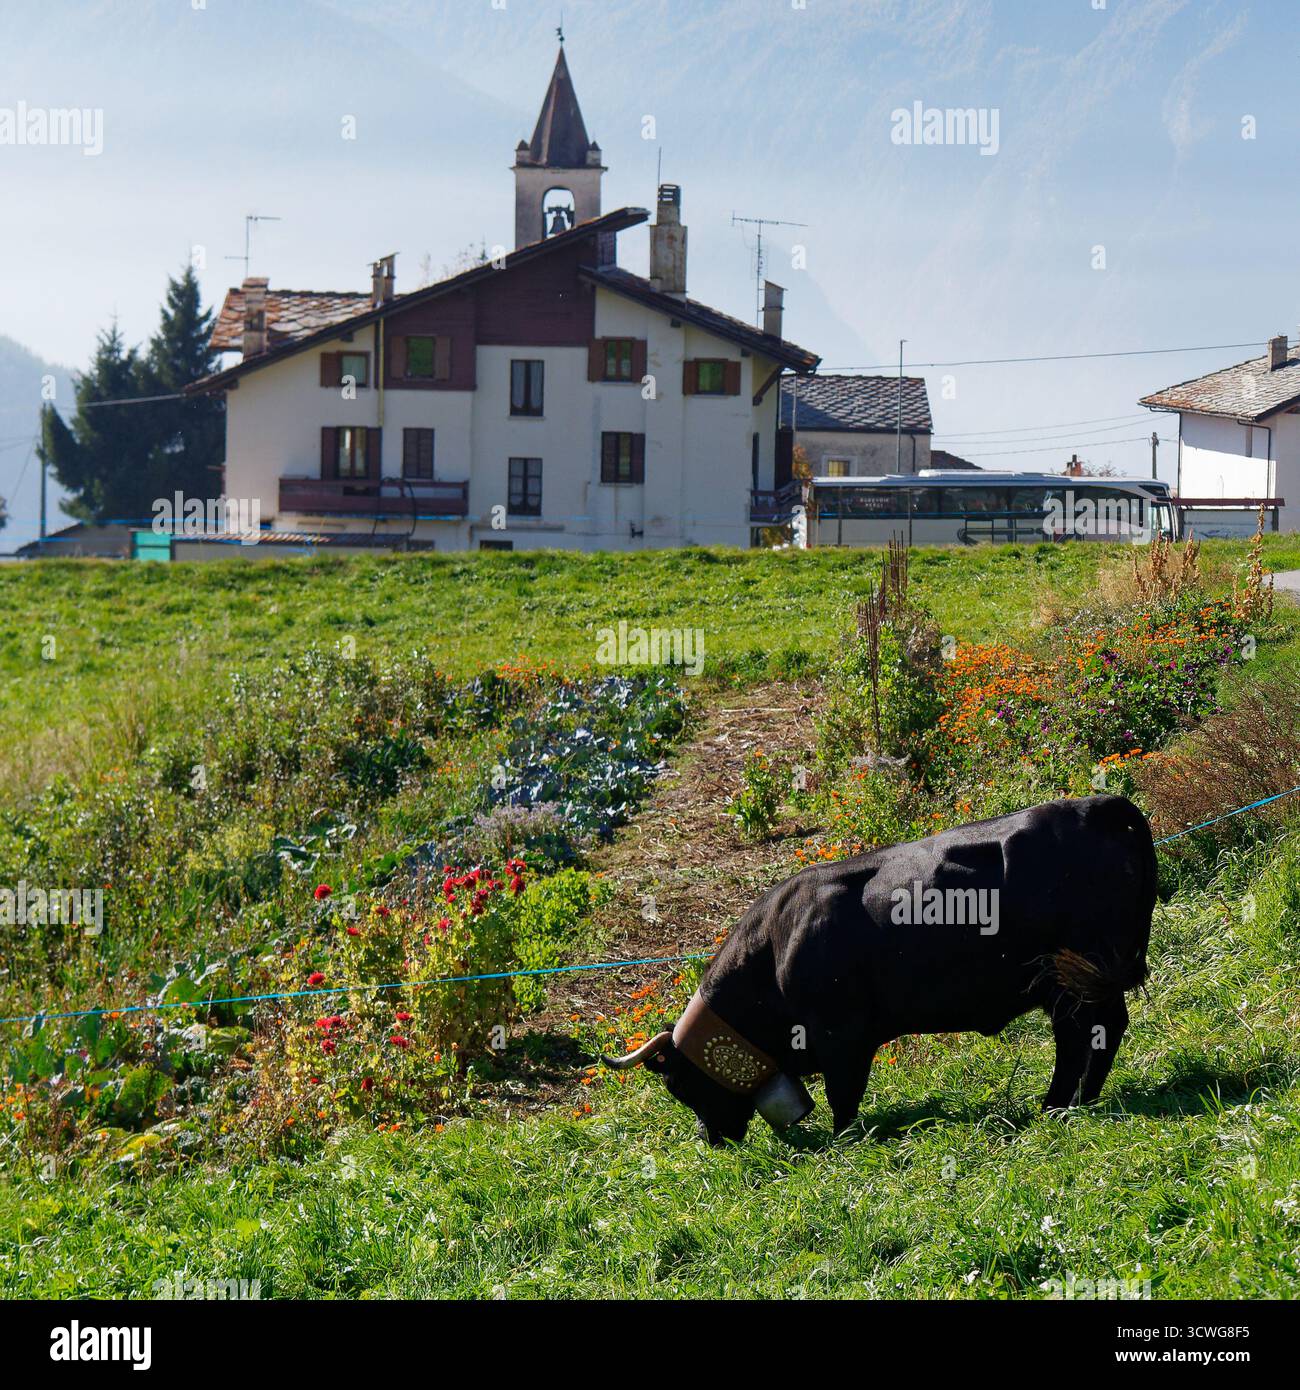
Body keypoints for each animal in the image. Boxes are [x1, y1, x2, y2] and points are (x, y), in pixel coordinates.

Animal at [602, 795, 1156, 1146]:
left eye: (679, 1085)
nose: (709, 1140)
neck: (773, 948)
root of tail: (1098, 805)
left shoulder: (841, 1036)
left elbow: (842, 1096)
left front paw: (843, 1141)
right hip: (1074, 984)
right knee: (1092, 1033)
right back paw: (1072, 1102)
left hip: (1077, 977)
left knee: (1090, 1035)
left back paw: (1063, 1104)